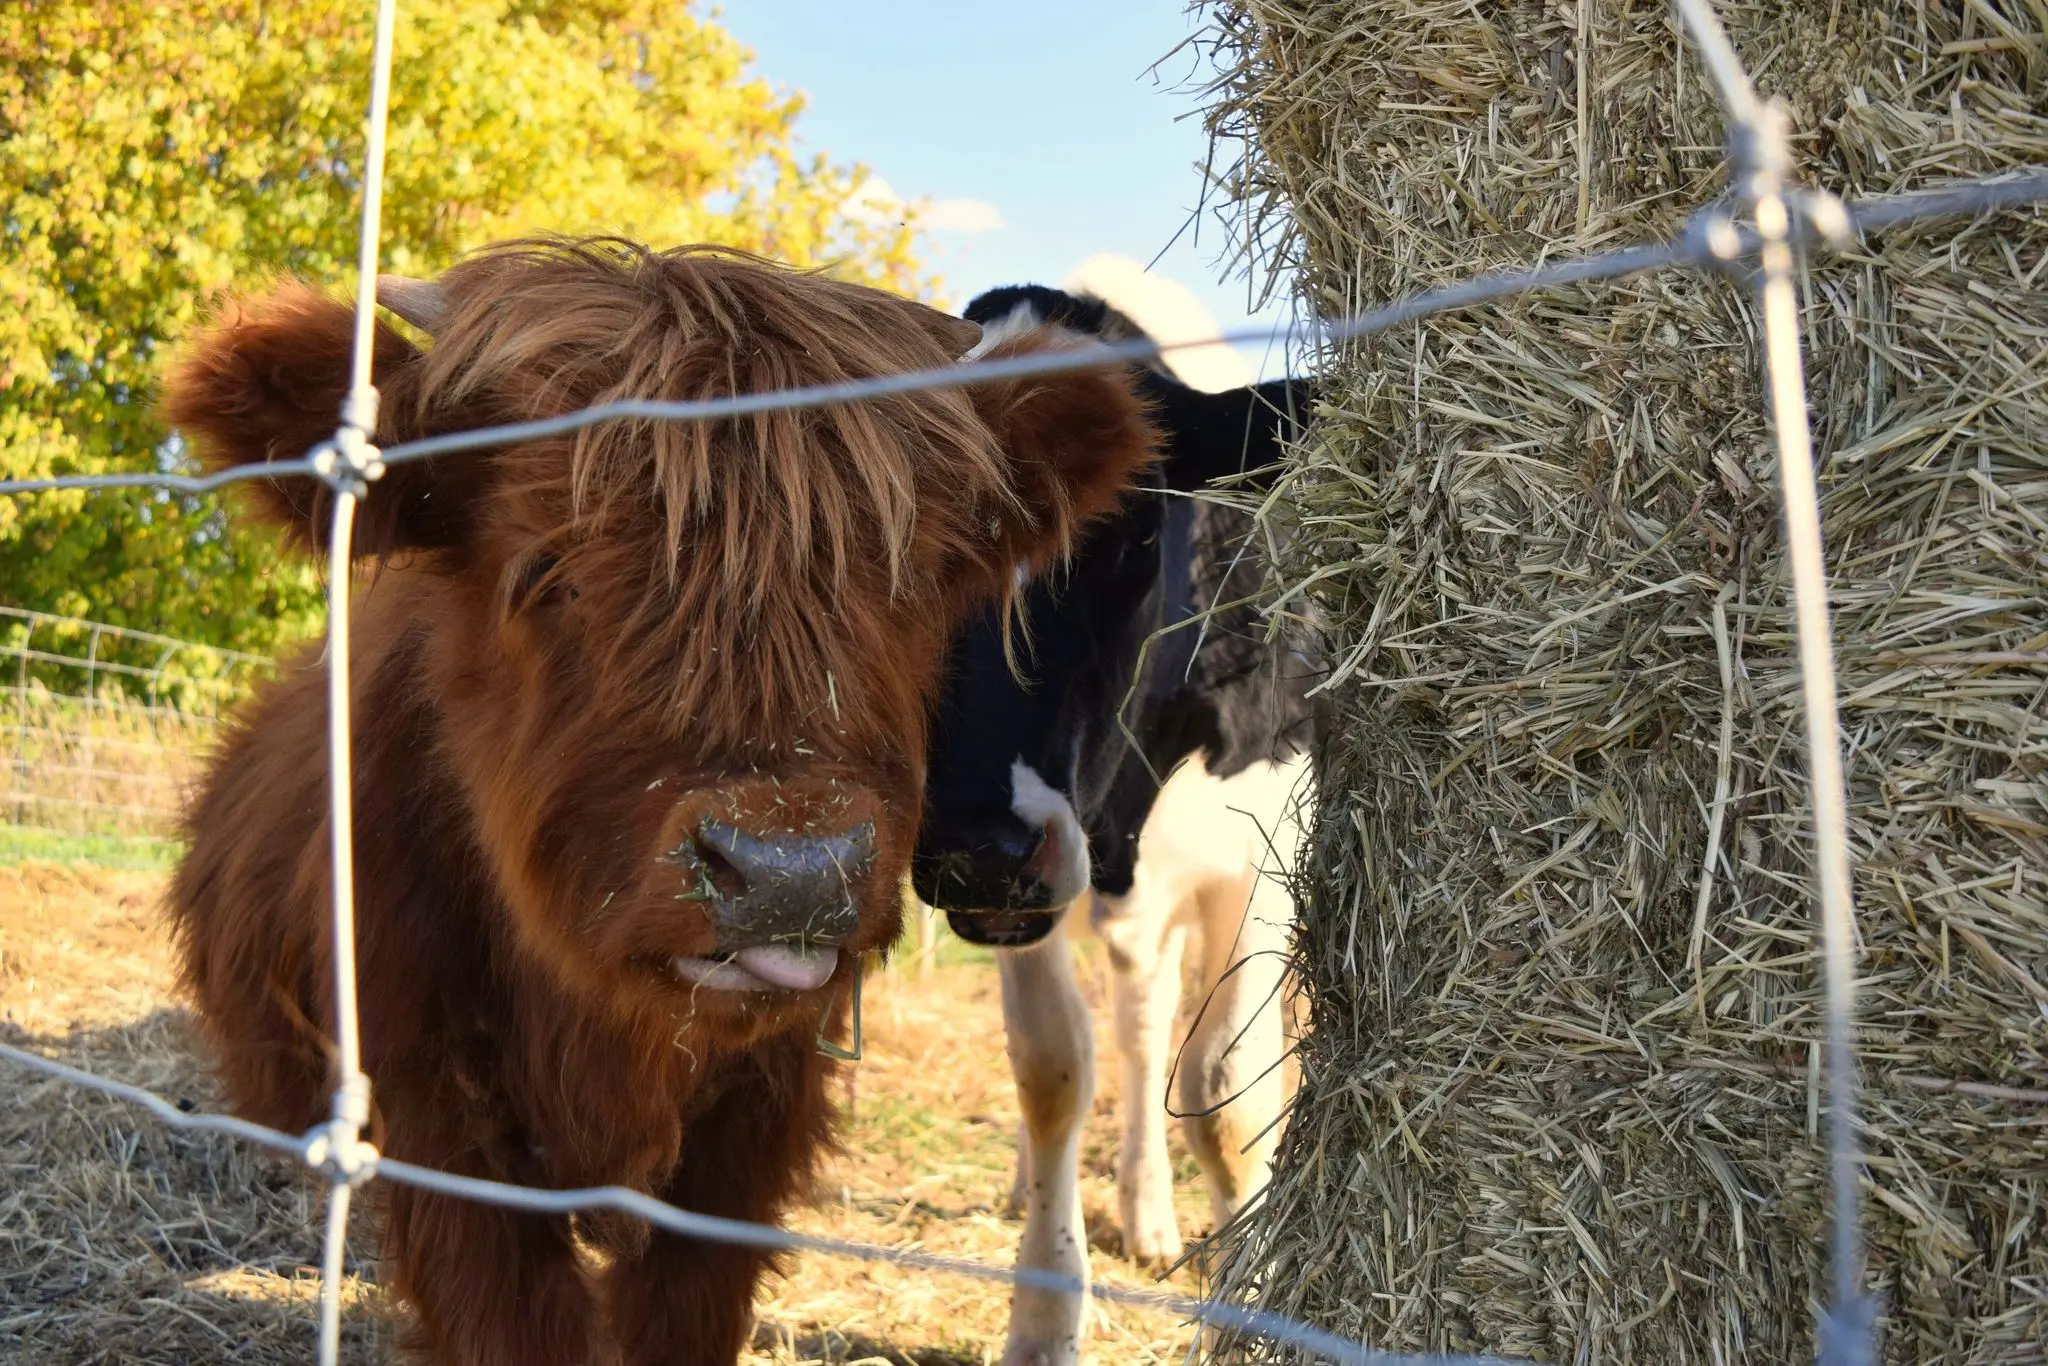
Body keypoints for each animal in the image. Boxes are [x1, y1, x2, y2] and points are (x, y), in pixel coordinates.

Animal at [161, 239, 1158, 1366]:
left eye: (914, 589)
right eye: (545, 568)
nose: (787, 870)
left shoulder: (753, 1127)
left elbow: (685, 1306)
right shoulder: (429, 1107)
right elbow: (510, 1320)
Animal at [911, 282, 1320, 1366]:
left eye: (1133, 530)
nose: (979, 849)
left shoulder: (1260, 860)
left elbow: (1227, 1090)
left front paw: (1247, 1292)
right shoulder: (1027, 891)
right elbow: (1051, 1066)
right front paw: (1043, 1320)